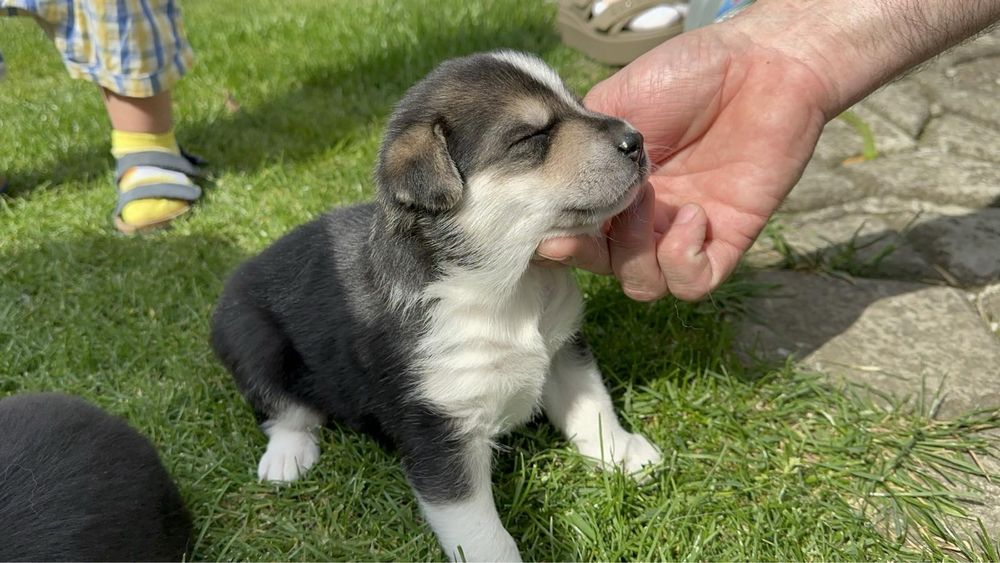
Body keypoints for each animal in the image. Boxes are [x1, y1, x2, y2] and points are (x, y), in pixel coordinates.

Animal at [212, 51, 664, 560]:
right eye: (532, 136)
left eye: (579, 104)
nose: (636, 139)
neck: (513, 282)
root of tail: (241, 272)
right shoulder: (438, 429)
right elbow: (482, 532)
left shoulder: (564, 348)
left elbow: (592, 406)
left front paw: (624, 454)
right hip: (251, 339)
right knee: (284, 410)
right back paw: (287, 458)